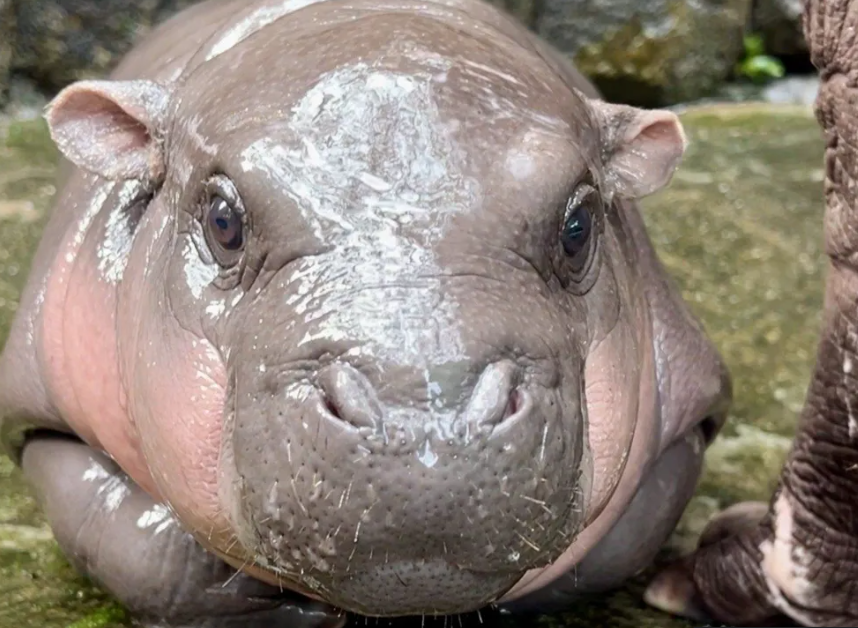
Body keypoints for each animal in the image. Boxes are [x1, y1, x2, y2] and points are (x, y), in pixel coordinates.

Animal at [0, 0, 728, 624]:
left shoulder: (688, 419)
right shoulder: (37, 415)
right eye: (223, 220)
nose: (425, 429)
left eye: (579, 226)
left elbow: (613, 548)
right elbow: (147, 553)